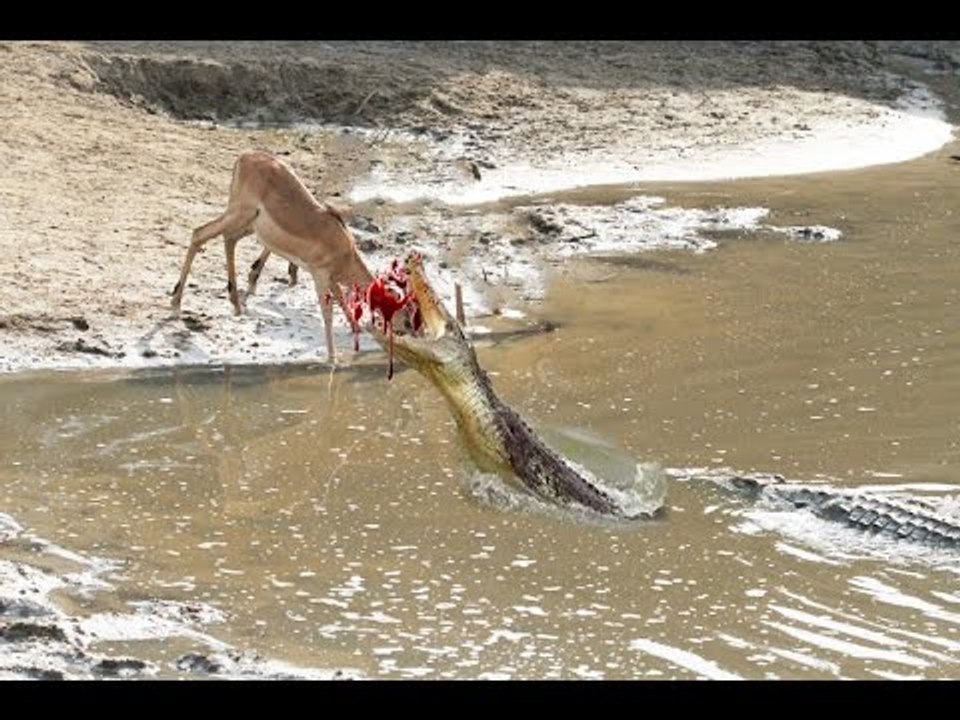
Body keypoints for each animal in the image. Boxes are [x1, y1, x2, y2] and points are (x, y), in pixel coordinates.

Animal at [169, 151, 375, 363]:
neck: (345, 250)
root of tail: (246, 156)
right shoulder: (320, 275)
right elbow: (328, 313)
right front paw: (332, 358)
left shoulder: (331, 280)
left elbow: (341, 299)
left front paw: (356, 329)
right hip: (239, 215)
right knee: (200, 233)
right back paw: (177, 304)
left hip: (247, 223)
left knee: (228, 239)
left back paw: (236, 303)